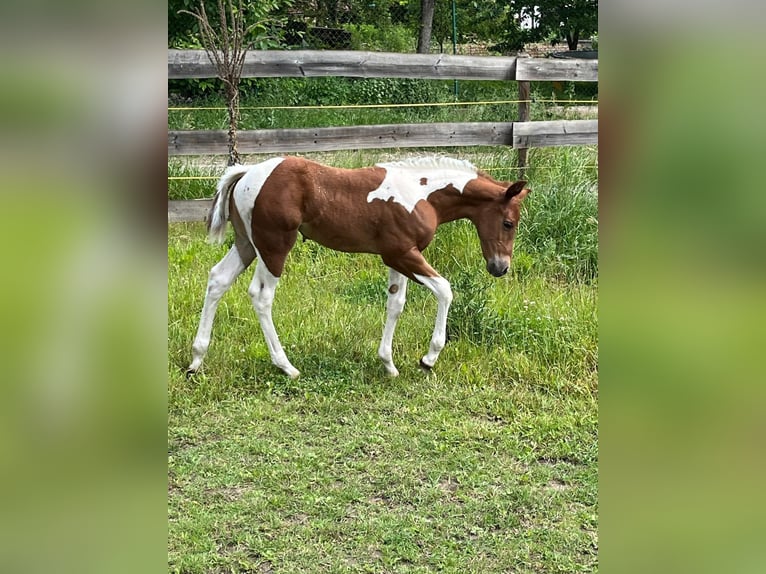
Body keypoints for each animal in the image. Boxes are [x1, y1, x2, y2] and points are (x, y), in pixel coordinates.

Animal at [186, 155, 530, 379]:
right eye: (508, 222)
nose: (500, 267)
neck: (421, 194)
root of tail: (246, 173)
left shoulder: (398, 256)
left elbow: (395, 303)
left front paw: (388, 365)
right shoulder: (403, 254)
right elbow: (445, 290)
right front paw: (428, 358)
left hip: (247, 243)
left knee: (217, 280)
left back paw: (196, 359)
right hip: (274, 246)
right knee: (261, 295)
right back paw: (286, 367)